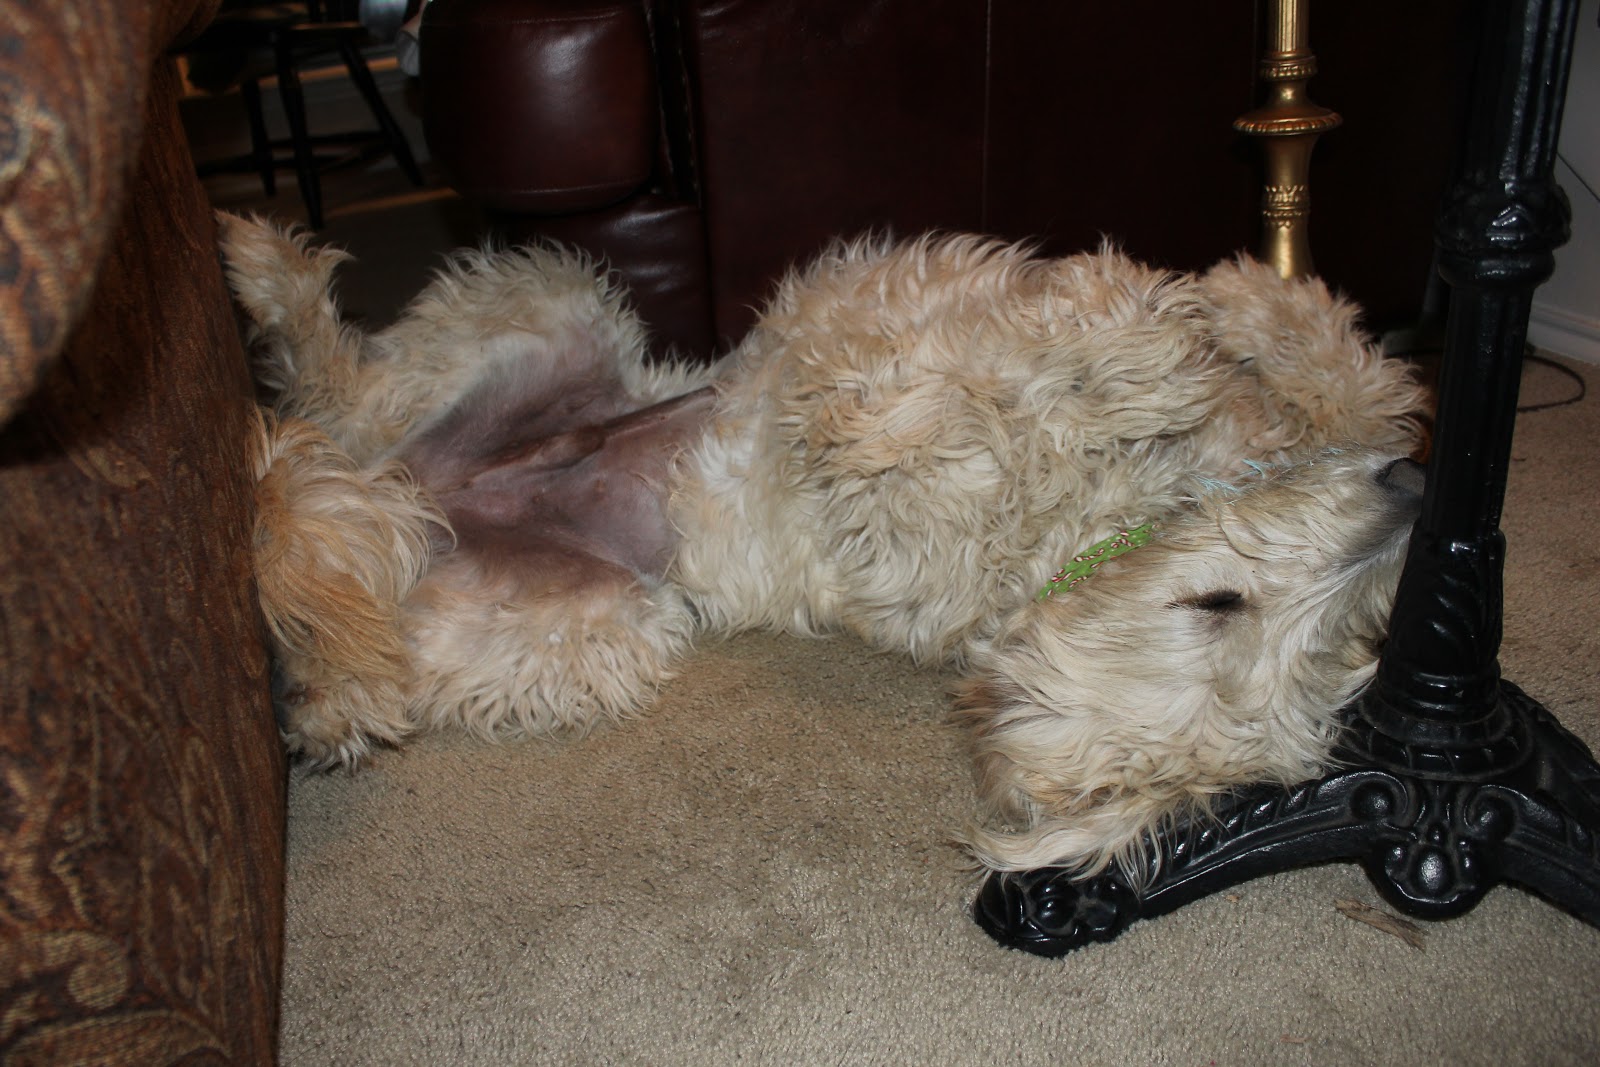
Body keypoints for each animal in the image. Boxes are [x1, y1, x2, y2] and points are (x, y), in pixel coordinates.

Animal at [223, 213, 1428, 880]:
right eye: (1215, 604)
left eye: (1322, 642)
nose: (1410, 505)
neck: (1085, 534)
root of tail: (427, 488)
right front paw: (1214, 311)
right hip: (548, 306)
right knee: (339, 390)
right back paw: (264, 271)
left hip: (589, 627)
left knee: (343, 582)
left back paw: (324, 673)